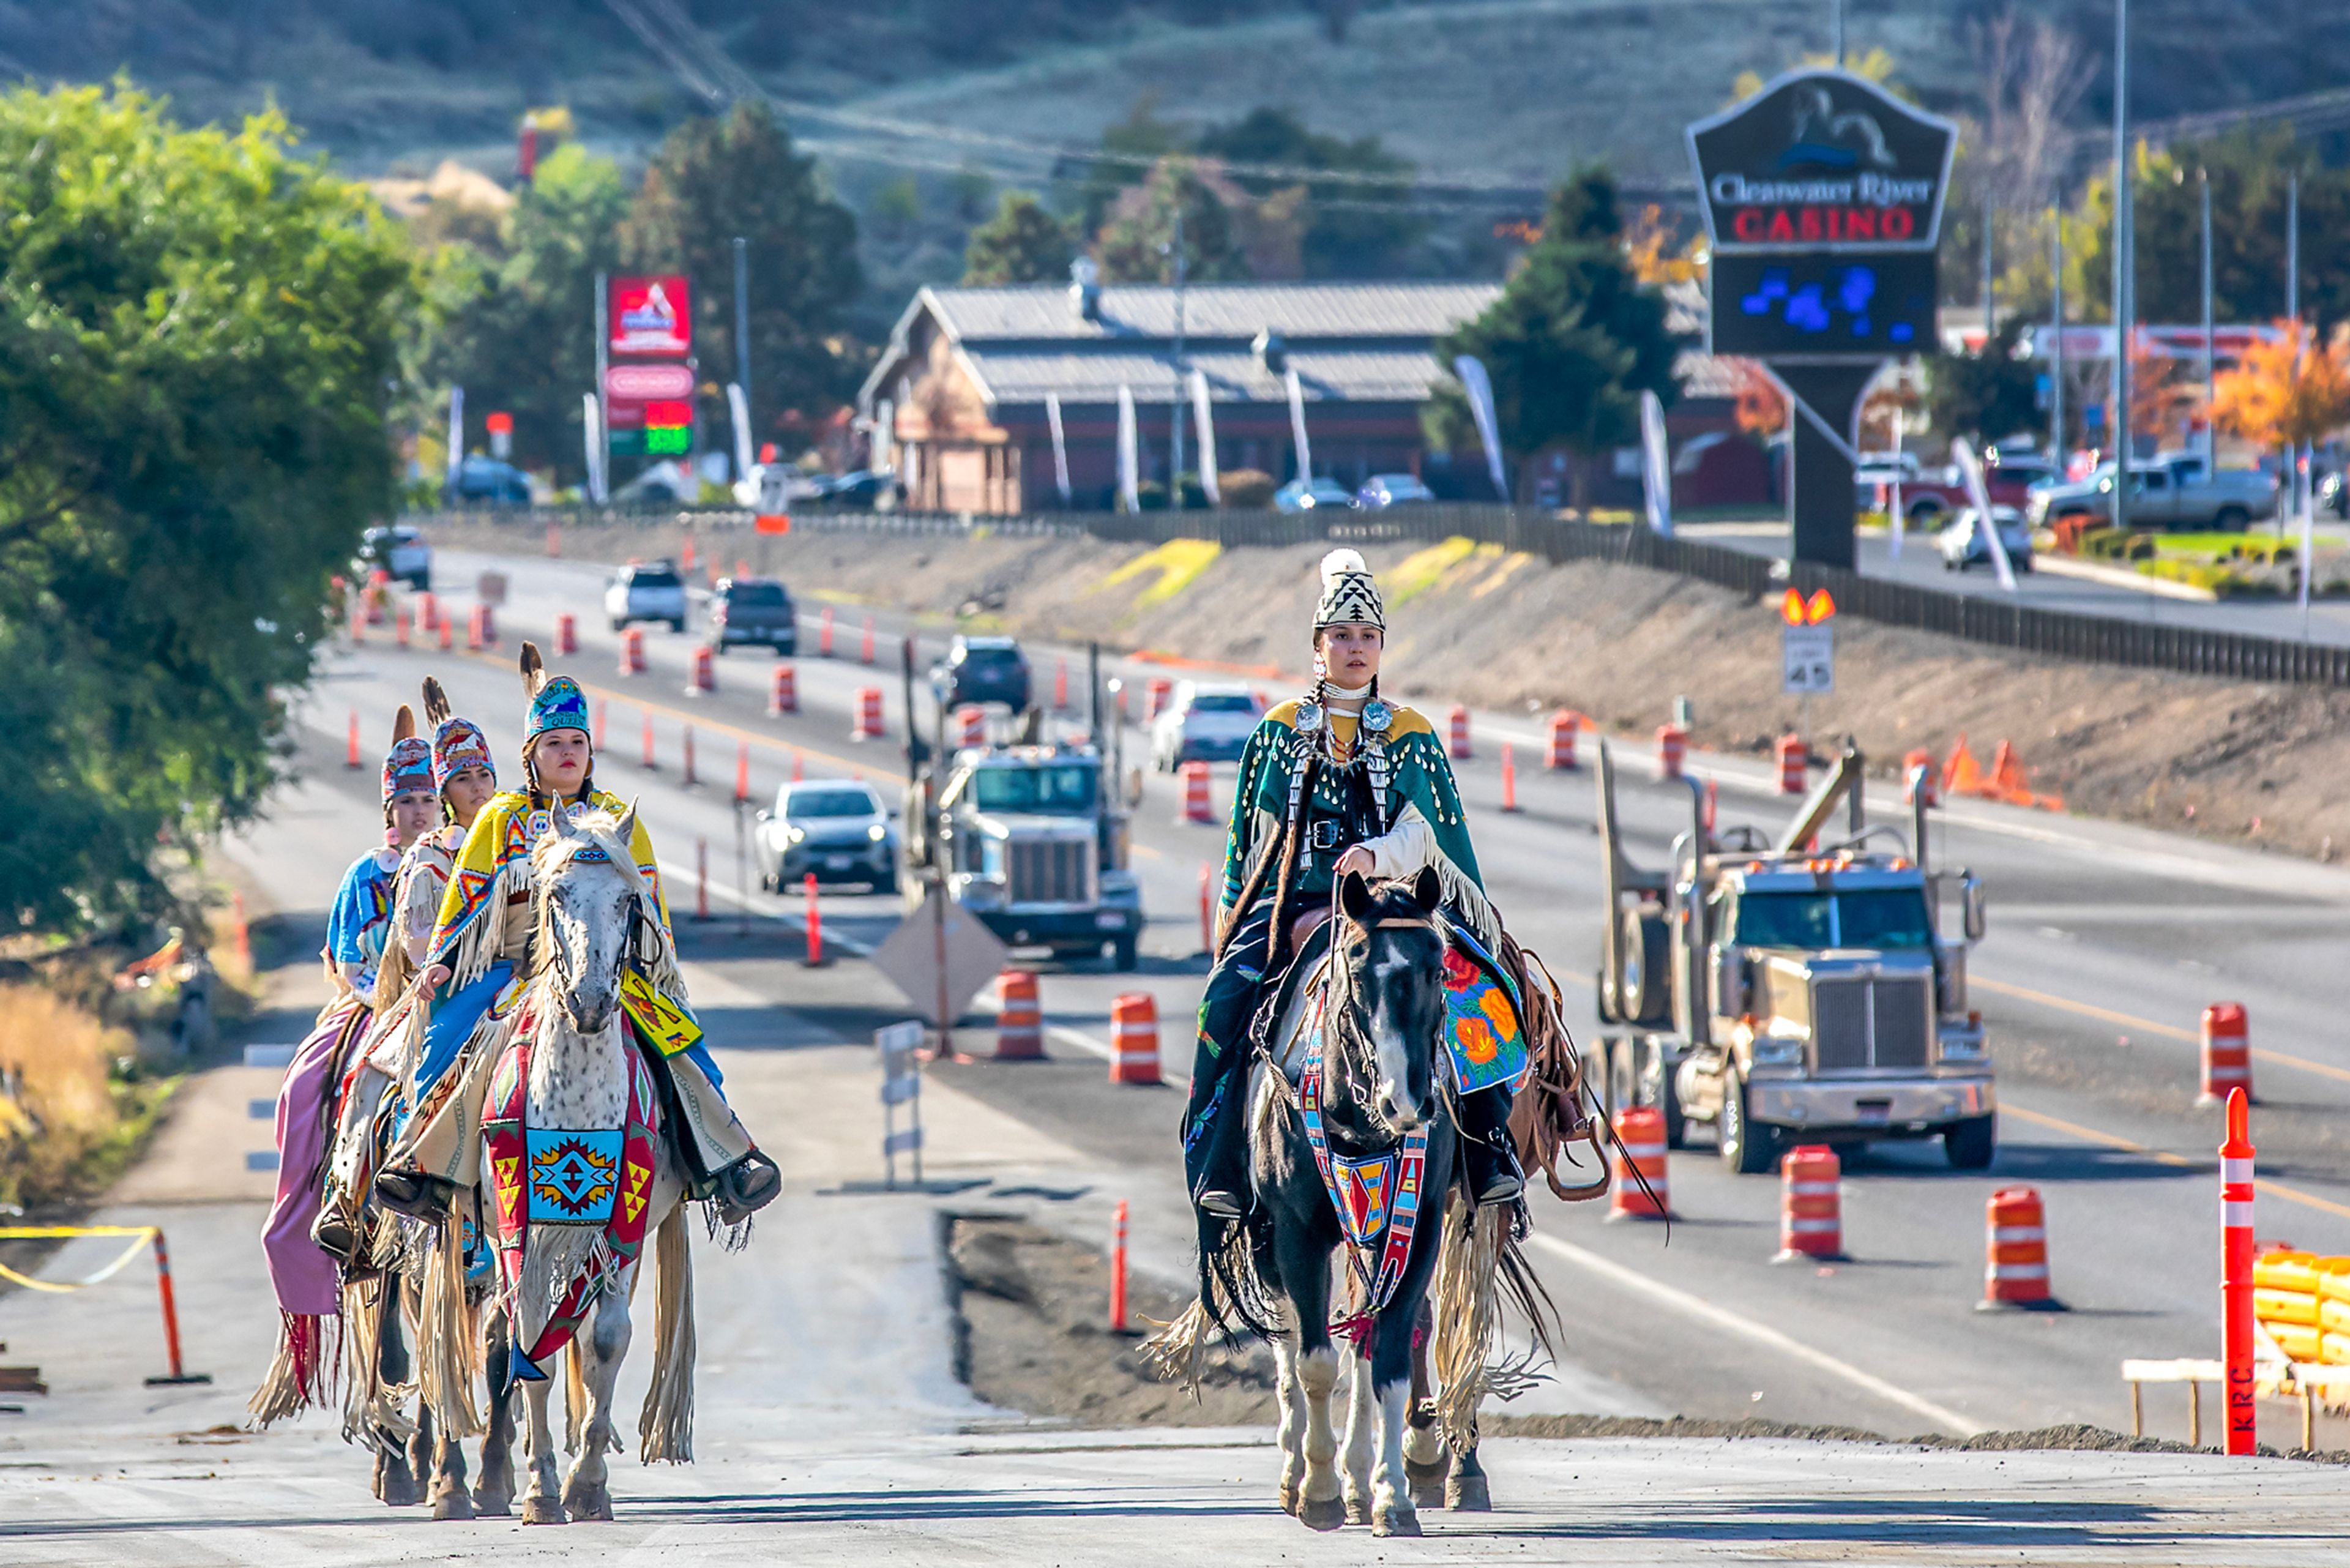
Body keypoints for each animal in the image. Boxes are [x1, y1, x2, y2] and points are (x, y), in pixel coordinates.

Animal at [502, 804, 695, 1523]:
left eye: (628, 900)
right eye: (556, 894)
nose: (588, 1002)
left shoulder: (623, 1230)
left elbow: (606, 1341)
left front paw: (587, 1484)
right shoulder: (522, 1230)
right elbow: (529, 1345)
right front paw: (540, 1489)